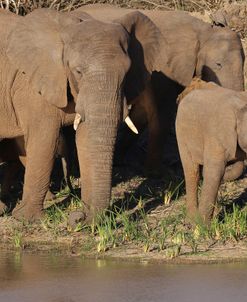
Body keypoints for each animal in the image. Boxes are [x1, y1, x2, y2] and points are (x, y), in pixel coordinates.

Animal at [0, 8, 161, 222]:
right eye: (78, 71)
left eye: (126, 73)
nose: (77, 217)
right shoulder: (31, 87)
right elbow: (45, 140)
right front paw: (26, 218)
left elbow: (85, 138)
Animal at [77, 3, 245, 175]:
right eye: (218, 64)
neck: (202, 30)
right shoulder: (163, 66)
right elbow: (160, 113)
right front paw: (157, 173)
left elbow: (142, 114)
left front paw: (119, 160)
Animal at [176, 78, 247, 223]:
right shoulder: (215, 135)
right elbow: (213, 172)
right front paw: (201, 226)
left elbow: (214, 173)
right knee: (192, 172)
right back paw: (192, 220)